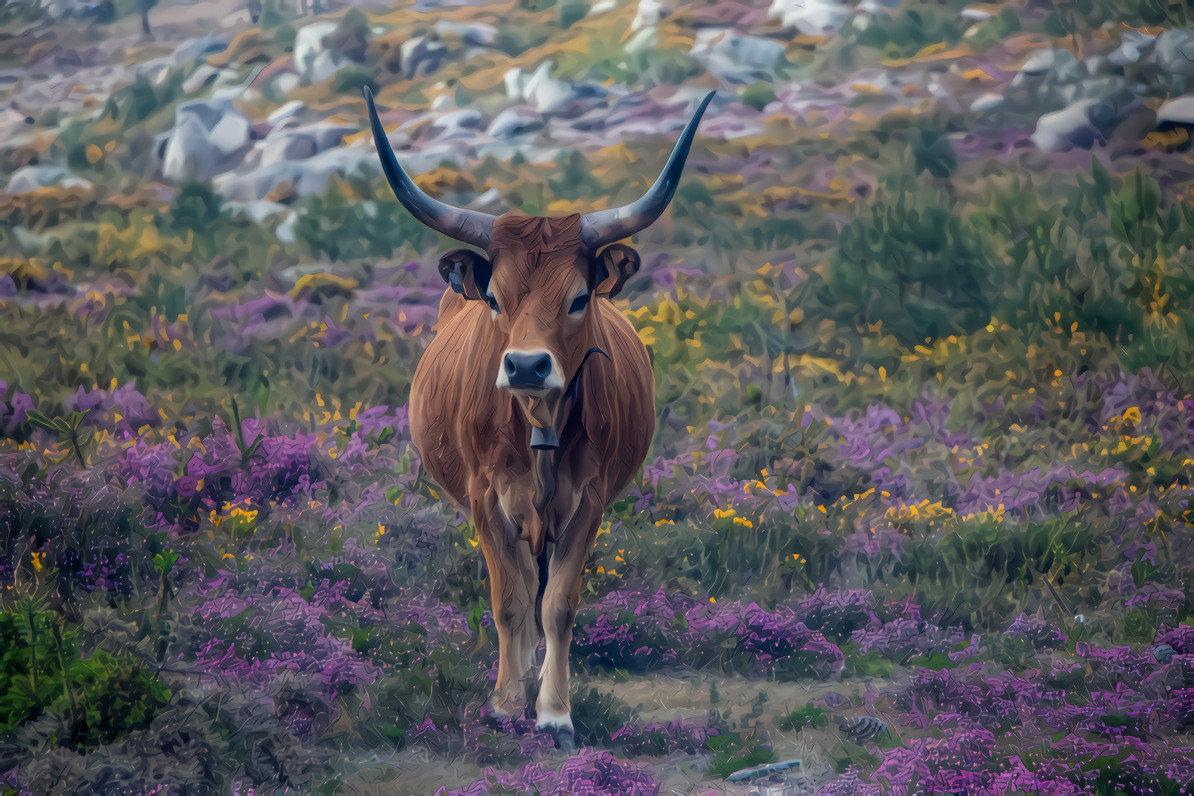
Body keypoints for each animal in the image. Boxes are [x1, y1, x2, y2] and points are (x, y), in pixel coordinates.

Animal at [362, 85, 711, 749]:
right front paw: (504, 705)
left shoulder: (589, 500)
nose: (526, 365)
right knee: (522, 587)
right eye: (495, 298)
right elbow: (509, 601)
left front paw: (553, 713)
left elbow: (558, 605)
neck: (538, 425)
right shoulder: (485, 498)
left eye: (577, 299)